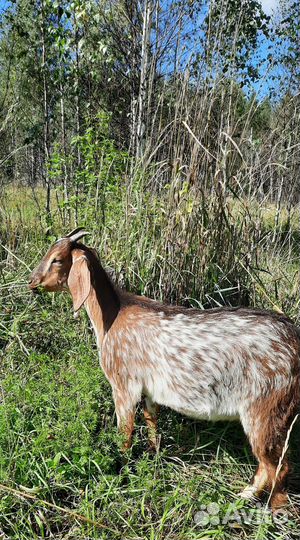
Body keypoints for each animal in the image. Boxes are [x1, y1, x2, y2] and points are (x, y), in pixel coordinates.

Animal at [28, 227, 300, 510]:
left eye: (57, 259)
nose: (32, 281)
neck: (113, 316)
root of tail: (294, 339)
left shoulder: (123, 385)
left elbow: (124, 432)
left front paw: (121, 468)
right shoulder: (150, 390)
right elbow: (151, 420)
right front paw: (153, 453)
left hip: (265, 409)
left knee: (276, 465)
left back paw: (262, 504)